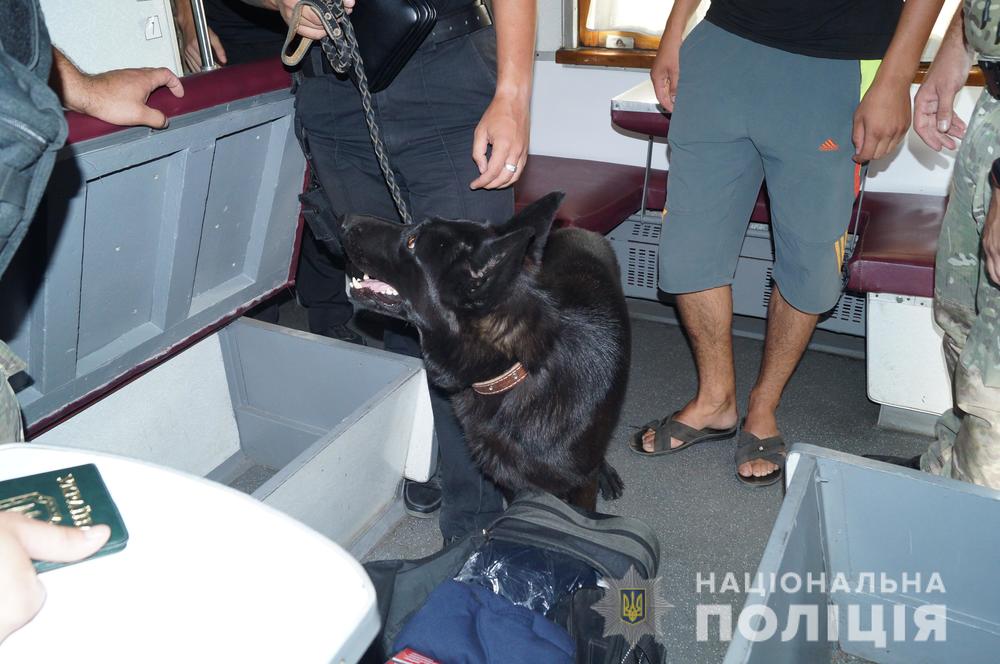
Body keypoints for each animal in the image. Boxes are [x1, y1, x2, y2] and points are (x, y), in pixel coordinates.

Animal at [341, 192, 630, 510]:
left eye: (413, 241)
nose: (345, 220)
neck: (518, 368)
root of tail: (577, 230)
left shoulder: (578, 488)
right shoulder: (509, 480)